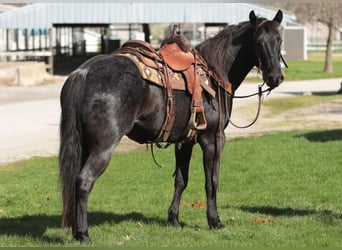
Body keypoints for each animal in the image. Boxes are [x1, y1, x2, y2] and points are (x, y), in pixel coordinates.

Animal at [59, 9, 286, 242]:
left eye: (279, 39)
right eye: (258, 42)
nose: (275, 78)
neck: (215, 74)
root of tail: (84, 72)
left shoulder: (184, 142)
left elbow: (181, 179)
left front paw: (174, 219)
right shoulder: (213, 139)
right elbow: (212, 180)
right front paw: (215, 221)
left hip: (85, 145)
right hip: (103, 148)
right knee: (84, 181)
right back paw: (83, 234)